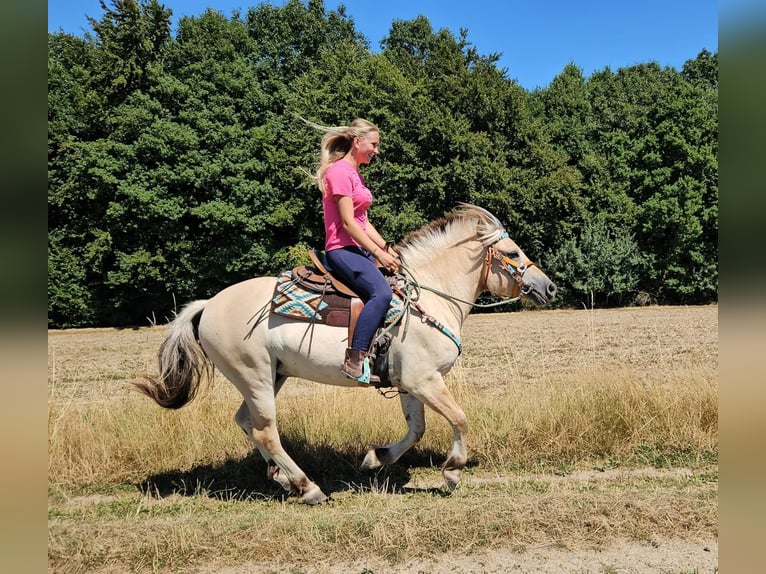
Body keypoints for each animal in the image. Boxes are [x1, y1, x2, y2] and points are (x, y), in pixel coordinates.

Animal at [136, 204, 557, 504]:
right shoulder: (424, 379)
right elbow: (460, 418)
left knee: (246, 423)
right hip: (254, 376)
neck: (429, 297)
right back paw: (307, 487)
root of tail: (208, 305)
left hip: (270, 376)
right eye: (513, 251)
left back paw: (282, 479)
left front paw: (376, 458)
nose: (549, 288)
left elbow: (416, 429)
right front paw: (452, 472)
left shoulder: (409, 383)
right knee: (265, 431)